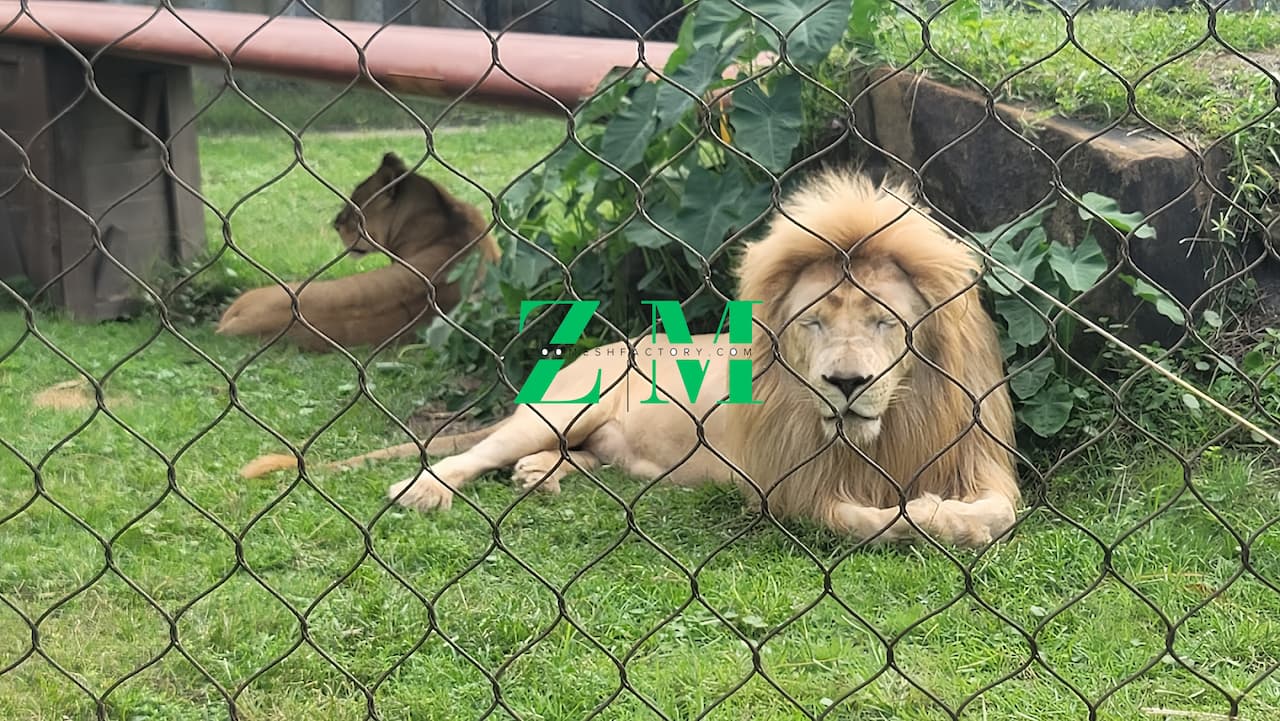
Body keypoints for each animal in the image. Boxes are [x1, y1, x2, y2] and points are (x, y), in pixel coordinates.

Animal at [240, 169, 1020, 547]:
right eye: (813, 322)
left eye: (886, 322)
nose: (847, 383)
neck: (885, 429)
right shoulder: (786, 485)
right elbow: (862, 520)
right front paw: (928, 517)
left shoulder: (978, 456)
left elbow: (1000, 511)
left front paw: (955, 516)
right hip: (560, 410)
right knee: (475, 452)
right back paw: (427, 487)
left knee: (572, 457)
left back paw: (540, 476)